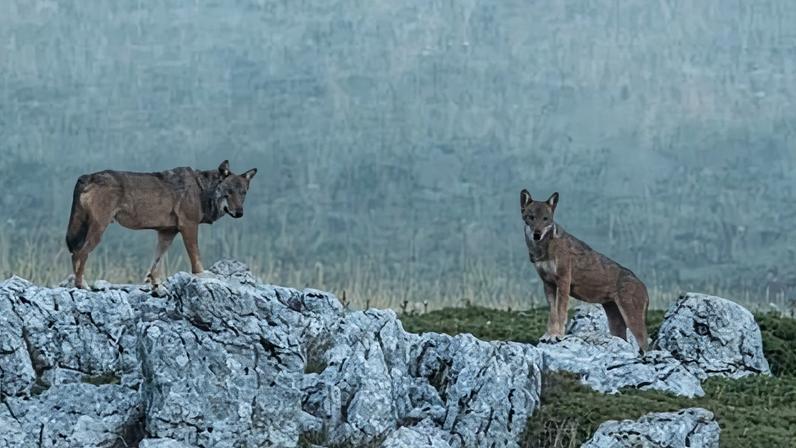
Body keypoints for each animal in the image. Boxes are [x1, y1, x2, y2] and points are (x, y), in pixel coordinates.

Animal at [66, 160, 257, 289]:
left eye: (243, 193)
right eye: (228, 192)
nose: (239, 213)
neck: (201, 189)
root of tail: (88, 176)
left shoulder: (167, 233)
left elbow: (156, 262)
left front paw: (155, 284)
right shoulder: (189, 226)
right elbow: (196, 257)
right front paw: (202, 275)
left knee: (76, 253)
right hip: (99, 230)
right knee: (79, 253)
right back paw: (81, 286)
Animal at [520, 190, 649, 351]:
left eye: (545, 219)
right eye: (531, 217)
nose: (537, 234)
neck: (544, 249)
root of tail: (644, 286)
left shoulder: (563, 281)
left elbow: (561, 312)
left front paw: (557, 336)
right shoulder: (548, 284)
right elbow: (552, 314)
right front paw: (548, 336)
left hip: (632, 322)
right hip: (616, 324)